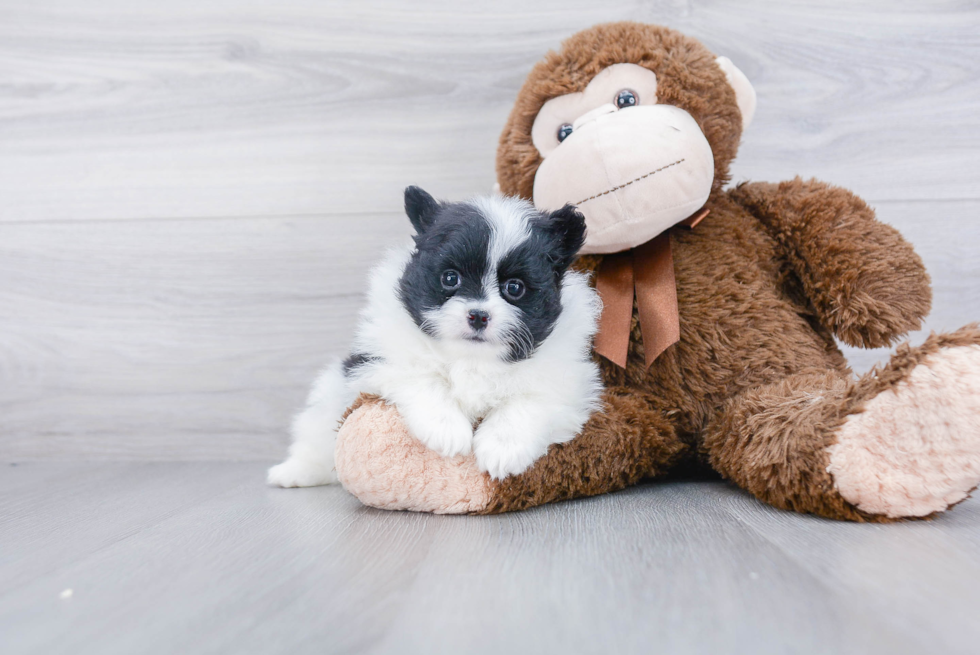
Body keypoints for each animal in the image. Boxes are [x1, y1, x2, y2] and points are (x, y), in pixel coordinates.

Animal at [270, 186, 604, 486]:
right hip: (329, 397)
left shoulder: (565, 382)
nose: (478, 315)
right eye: (450, 278)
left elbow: (528, 401)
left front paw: (501, 449)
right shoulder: (382, 358)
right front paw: (447, 430)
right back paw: (292, 473)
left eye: (515, 288)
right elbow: (423, 378)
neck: (472, 359)